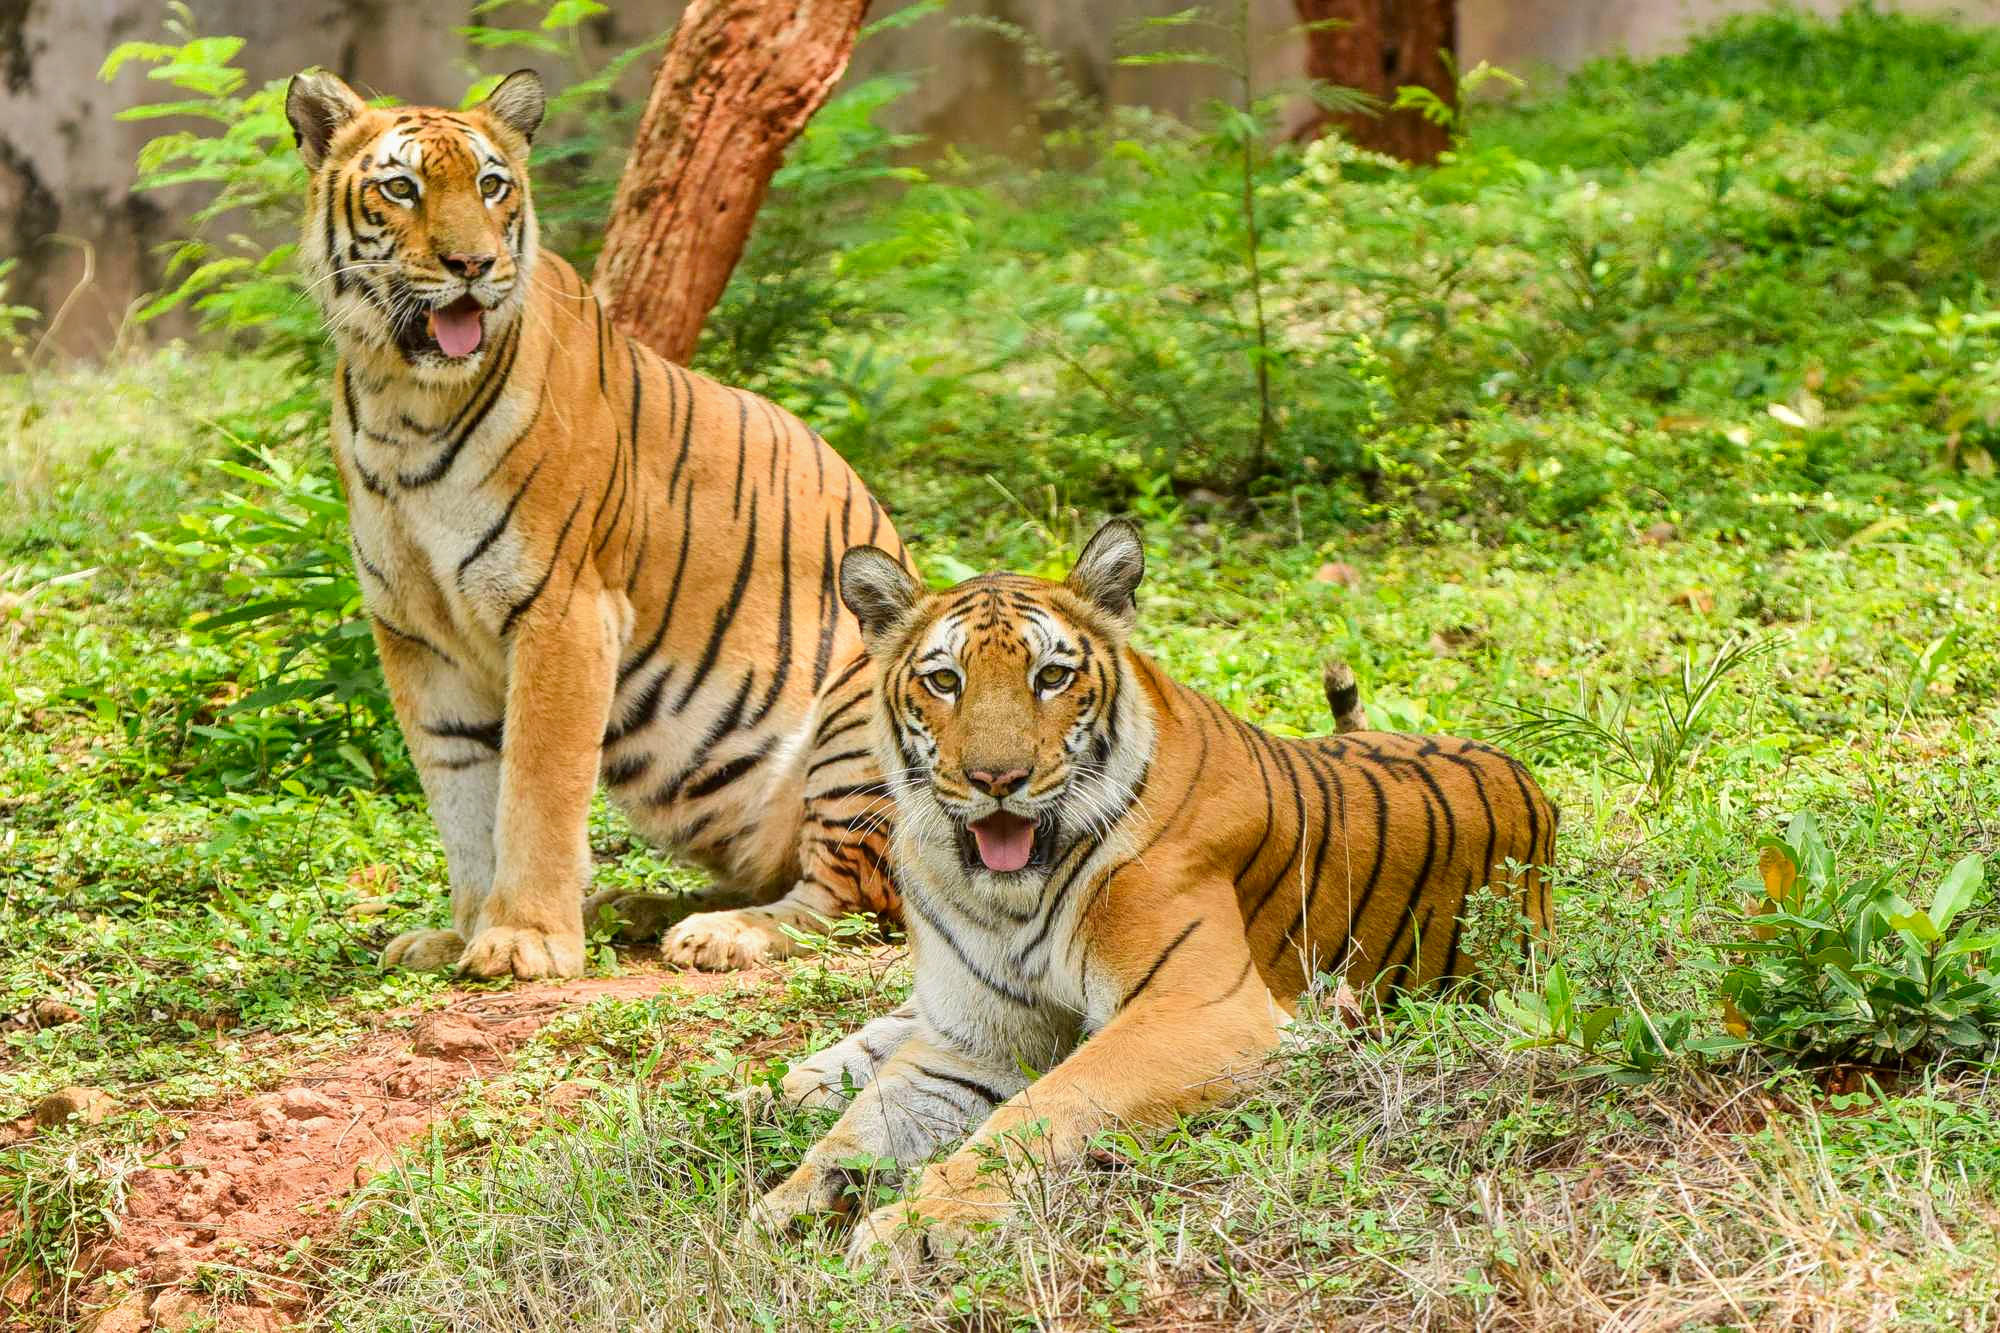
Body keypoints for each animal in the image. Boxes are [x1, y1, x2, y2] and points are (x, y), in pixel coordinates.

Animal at [282, 70, 908, 976]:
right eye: (400, 189)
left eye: (491, 185)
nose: (472, 264)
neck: (406, 405)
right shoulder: (416, 635)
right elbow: (459, 793)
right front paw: (464, 930)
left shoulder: (564, 609)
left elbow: (536, 787)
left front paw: (524, 938)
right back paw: (633, 905)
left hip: (871, 707)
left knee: (853, 897)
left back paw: (718, 932)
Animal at [756, 516, 1552, 1256]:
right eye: (945, 681)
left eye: (1051, 676)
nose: (996, 779)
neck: (1009, 898)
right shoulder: (975, 1039)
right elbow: (867, 1122)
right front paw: (789, 1203)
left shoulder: (1200, 1013)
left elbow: (1042, 1107)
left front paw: (919, 1224)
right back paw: (797, 1082)